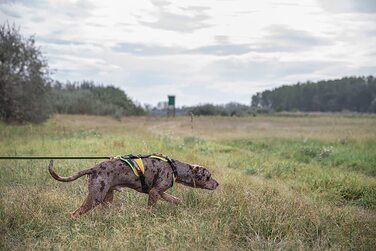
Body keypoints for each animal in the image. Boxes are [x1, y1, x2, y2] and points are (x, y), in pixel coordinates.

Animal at [48, 155, 219, 218]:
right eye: (208, 176)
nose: (218, 183)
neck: (174, 168)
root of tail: (93, 168)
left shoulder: (158, 192)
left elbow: (174, 199)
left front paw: (180, 203)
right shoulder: (154, 192)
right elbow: (150, 209)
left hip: (107, 198)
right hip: (95, 197)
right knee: (75, 213)